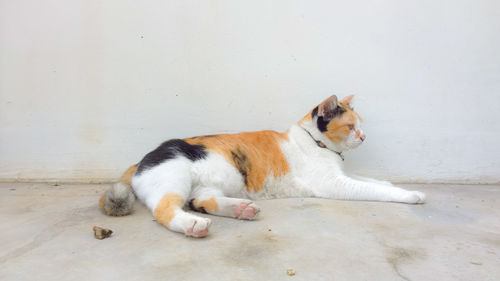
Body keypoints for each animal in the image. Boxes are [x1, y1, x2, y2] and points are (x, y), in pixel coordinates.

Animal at [98, 95, 426, 237]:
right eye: (350, 126)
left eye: (361, 125)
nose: (364, 136)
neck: (315, 143)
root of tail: (140, 160)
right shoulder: (334, 184)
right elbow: (372, 188)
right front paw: (412, 195)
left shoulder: (343, 175)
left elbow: (372, 181)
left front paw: (392, 183)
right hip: (174, 179)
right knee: (165, 210)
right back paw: (193, 225)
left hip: (206, 185)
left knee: (202, 200)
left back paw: (241, 209)